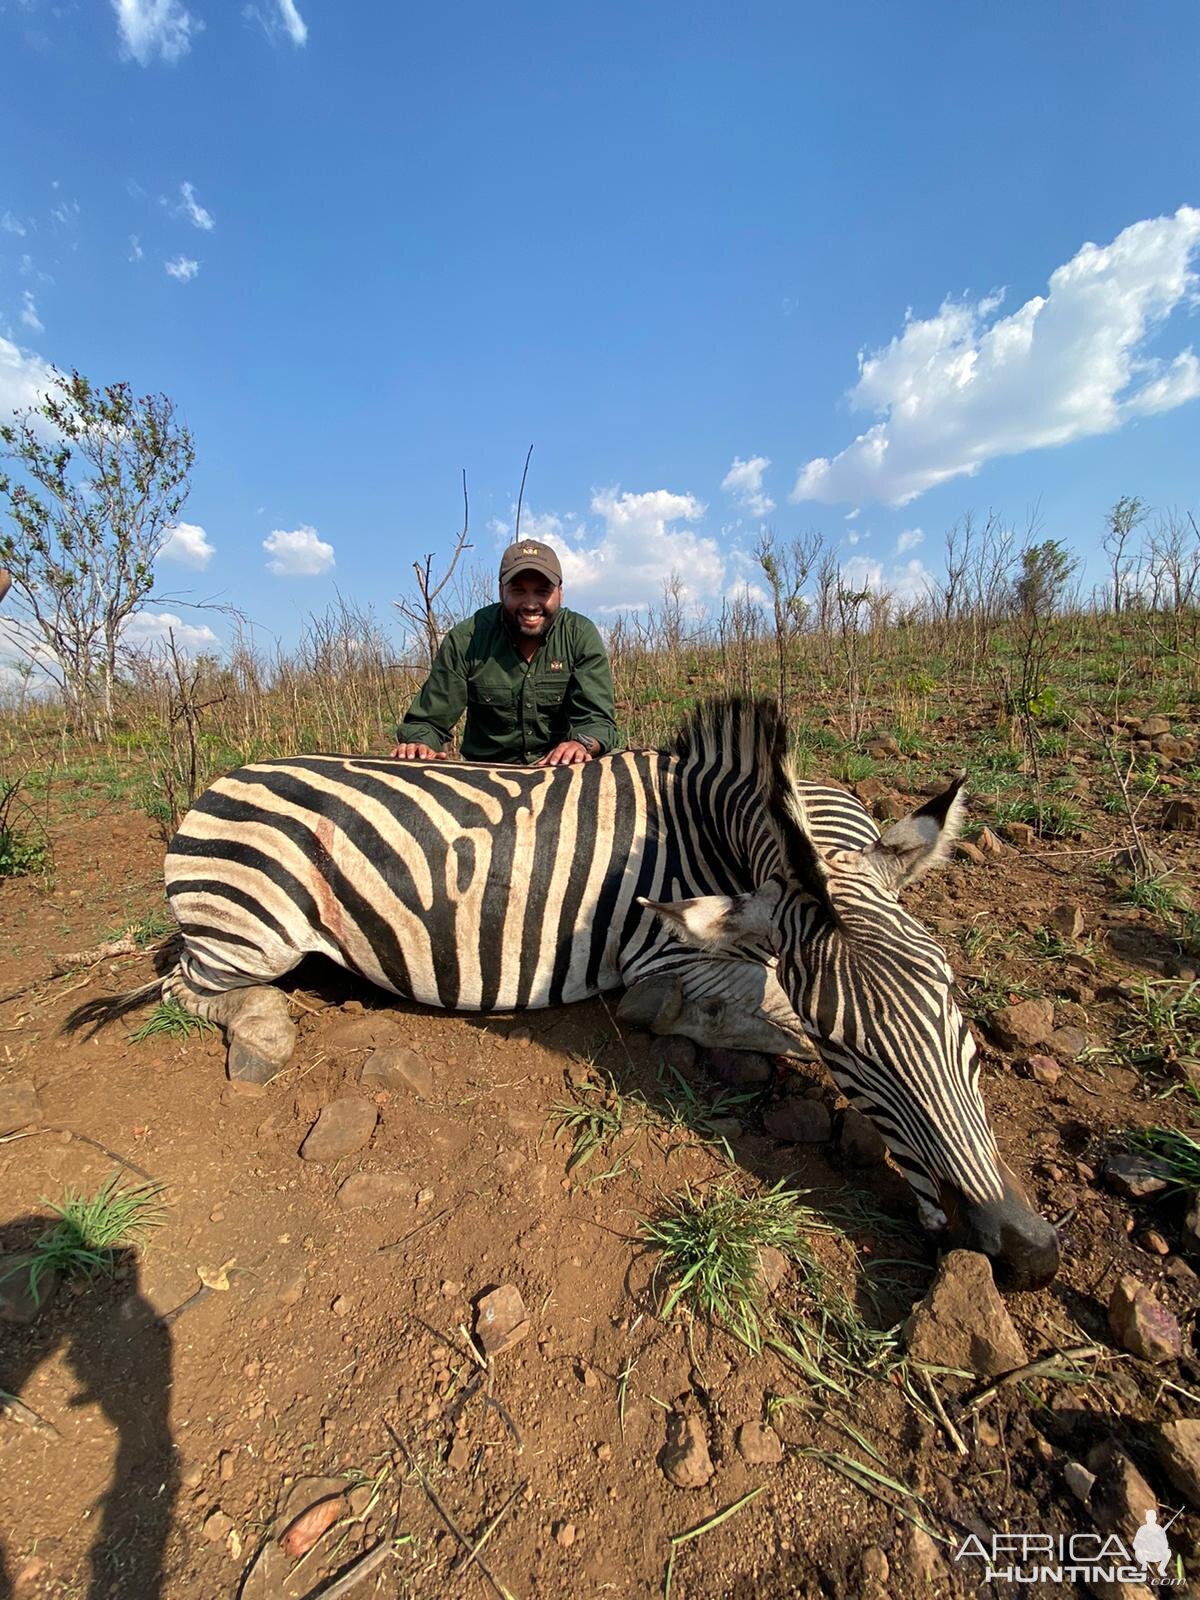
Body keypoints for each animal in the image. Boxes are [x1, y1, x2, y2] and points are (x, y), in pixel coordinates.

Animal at [70, 700, 1056, 1286]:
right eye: (844, 1046)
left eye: (955, 1007)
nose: (1027, 1255)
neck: (722, 831)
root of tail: (217, 781)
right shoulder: (669, 958)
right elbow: (758, 1011)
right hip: (252, 923)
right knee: (190, 989)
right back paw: (266, 1031)